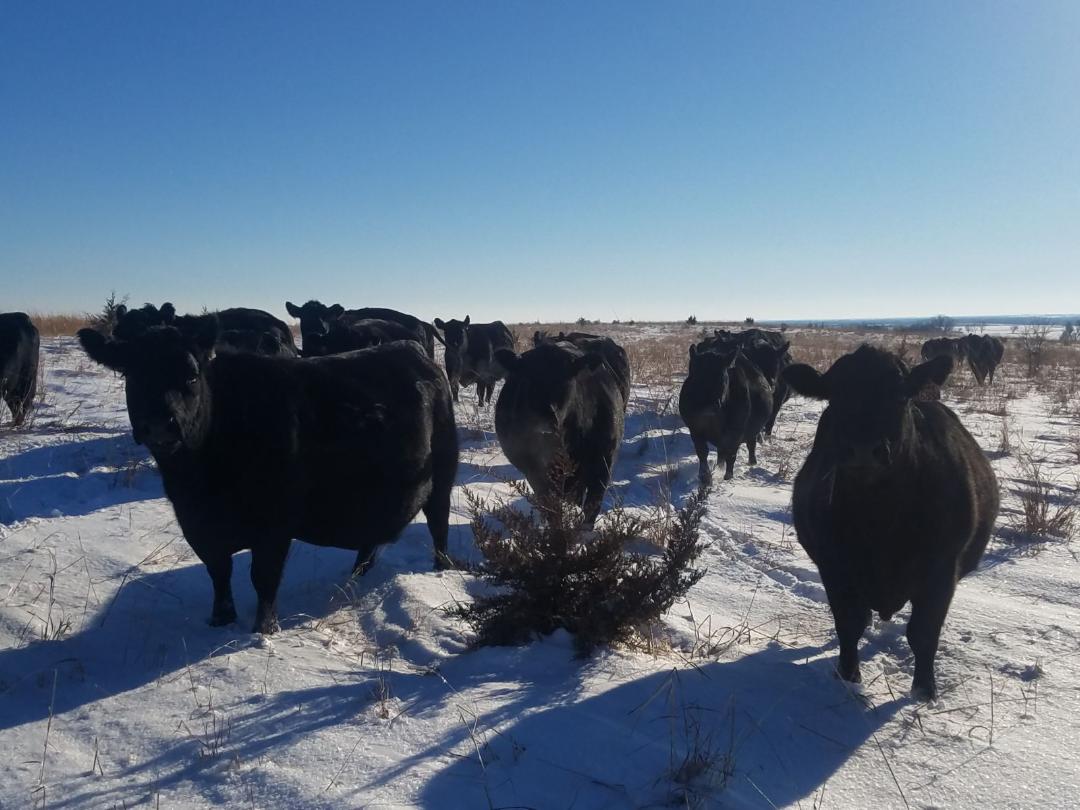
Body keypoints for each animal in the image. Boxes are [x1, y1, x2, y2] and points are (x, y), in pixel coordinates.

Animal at [76, 317, 458, 634]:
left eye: (192, 376)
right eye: (133, 375)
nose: (160, 425)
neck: (198, 482)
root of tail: (414, 351)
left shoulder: (275, 526)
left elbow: (263, 578)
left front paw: (264, 631)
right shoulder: (198, 528)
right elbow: (219, 573)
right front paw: (220, 620)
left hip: (443, 474)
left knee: (438, 526)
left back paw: (441, 568)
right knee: (370, 543)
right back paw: (353, 581)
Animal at [494, 339, 629, 525]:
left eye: (566, 380)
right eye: (526, 380)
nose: (543, 425)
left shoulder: (603, 465)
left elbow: (591, 509)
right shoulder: (536, 471)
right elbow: (551, 507)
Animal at [679, 344, 773, 485]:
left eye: (722, 377)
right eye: (694, 377)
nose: (707, 406)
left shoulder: (736, 432)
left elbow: (731, 454)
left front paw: (728, 476)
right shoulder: (695, 429)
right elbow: (702, 452)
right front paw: (705, 477)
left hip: (753, 430)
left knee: (751, 444)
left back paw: (752, 462)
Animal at [783, 346, 999, 700]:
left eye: (900, 395)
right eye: (835, 396)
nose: (863, 450)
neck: (881, 517)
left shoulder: (942, 570)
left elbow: (923, 633)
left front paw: (924, 691)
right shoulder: (834, 566)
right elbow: (849, 624)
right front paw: (848, 676)